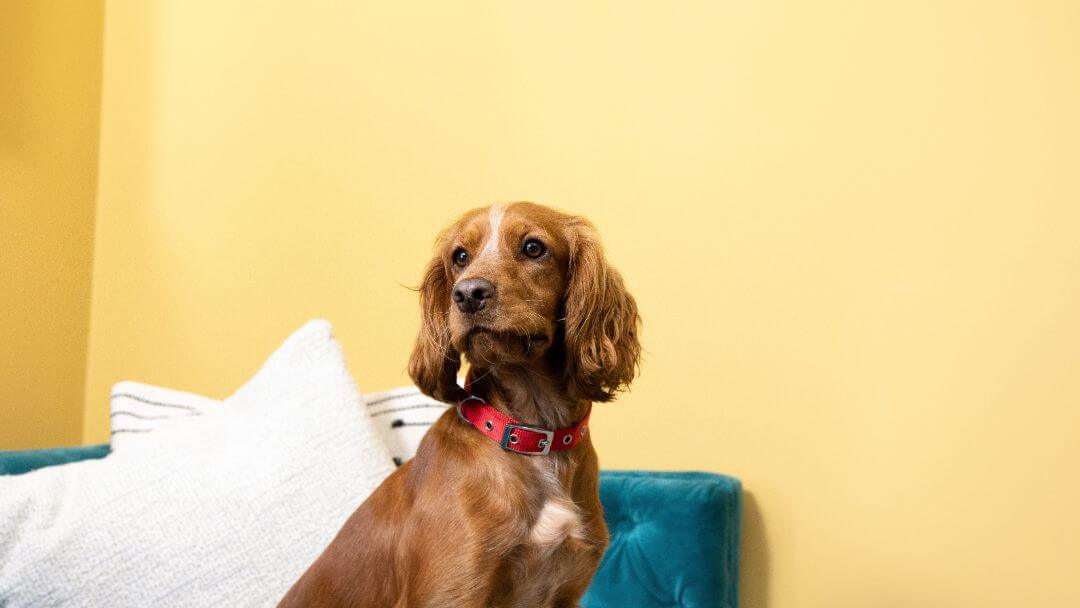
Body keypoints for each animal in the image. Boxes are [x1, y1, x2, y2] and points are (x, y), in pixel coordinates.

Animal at [282, 201, 643, 604]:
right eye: (460, 256)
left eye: (534, 248)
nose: (468, 293)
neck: (532, 437)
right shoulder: (449, 594)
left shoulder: (566, 593)